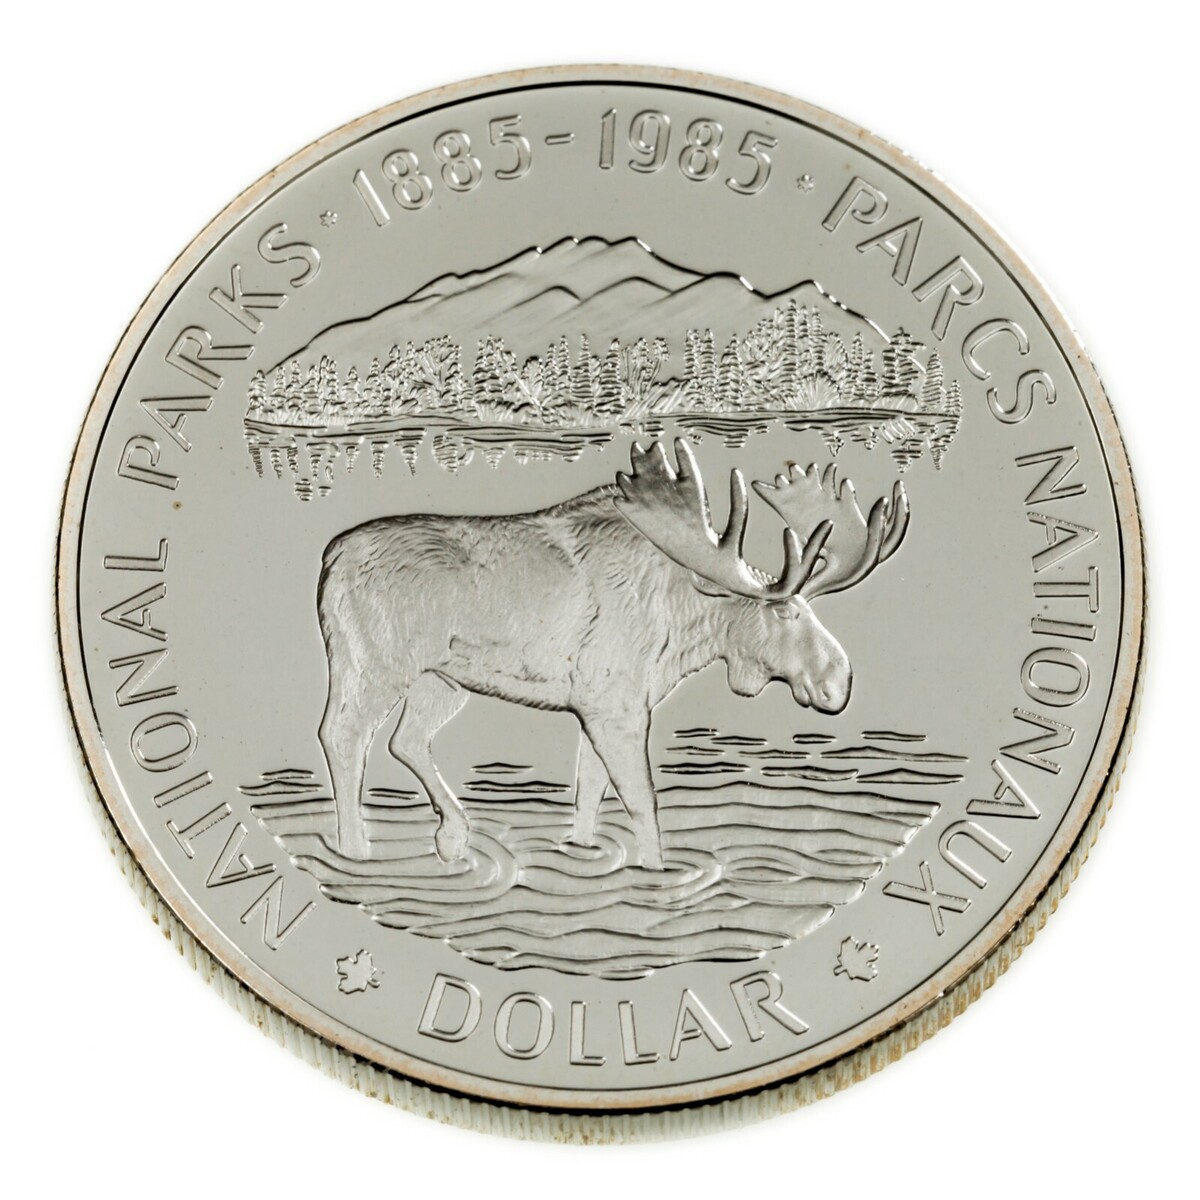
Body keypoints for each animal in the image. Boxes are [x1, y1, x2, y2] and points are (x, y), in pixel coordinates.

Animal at [316, 439, 909, 869]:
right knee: (342, 736)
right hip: (374, 665)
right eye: (784, 612)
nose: (840, 681)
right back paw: (355, 850)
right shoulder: (615, 706)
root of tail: (327, 560)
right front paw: (655, 872)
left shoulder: (596, 707)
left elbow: (589, 792)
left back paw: (452, 837)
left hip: (441, 680)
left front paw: (583, 854)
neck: (684, 618)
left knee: (406, 741)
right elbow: (642, 800)